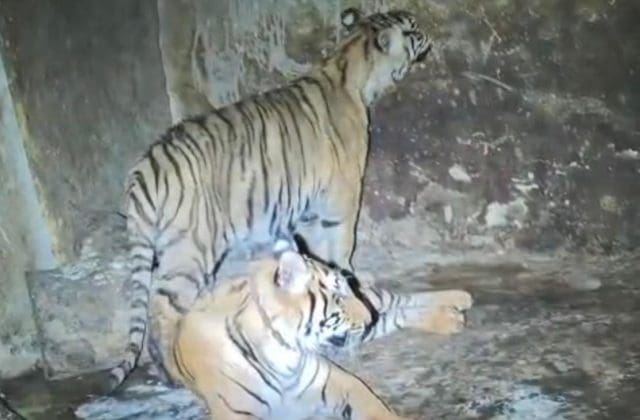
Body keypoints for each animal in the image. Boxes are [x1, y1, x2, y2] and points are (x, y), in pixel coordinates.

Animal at [108, 7, 433, 391]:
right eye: (412, 29)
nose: (429, 34)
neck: (349, 63)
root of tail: (145, 167)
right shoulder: (341, 198)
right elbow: (340, 247)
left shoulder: (307, 211)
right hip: (190, 251)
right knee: (161, 310)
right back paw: (174, 372)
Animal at [169, 250, 473, 420]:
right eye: (338, 298)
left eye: (348, 291)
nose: (368, 317)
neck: (283, 353)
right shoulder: (235, 412)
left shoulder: (335, 380)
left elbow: (377, 409)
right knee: (395, 313)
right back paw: (450, 317)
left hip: (374, 303)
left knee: (397, 299)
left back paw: (460, 298)